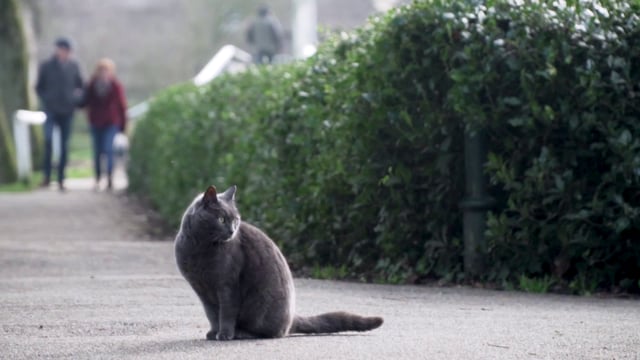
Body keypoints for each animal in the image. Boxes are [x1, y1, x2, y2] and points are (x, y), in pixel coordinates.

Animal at [175, 186, 382, 340]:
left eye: (236, 220)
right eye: (221, 219)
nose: (232, 231)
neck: (199, 247)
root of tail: (291, 320)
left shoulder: (227, 285)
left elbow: (226, 312)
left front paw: (224, 334)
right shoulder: (202, 290)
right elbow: (212, 314)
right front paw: (213, 332)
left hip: (260, 304)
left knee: (271, 332)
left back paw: (241, 333)